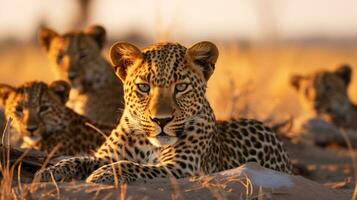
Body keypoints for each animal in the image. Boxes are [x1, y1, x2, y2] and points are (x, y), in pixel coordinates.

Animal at [36, 40, 292, 184]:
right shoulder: (105, 155)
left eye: (181, 87)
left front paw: (101, 175)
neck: (146, 143)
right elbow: (78, 159)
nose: (161, 120)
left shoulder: (181, 166)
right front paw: (48, 172)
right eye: (143, 87)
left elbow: (131, 165)